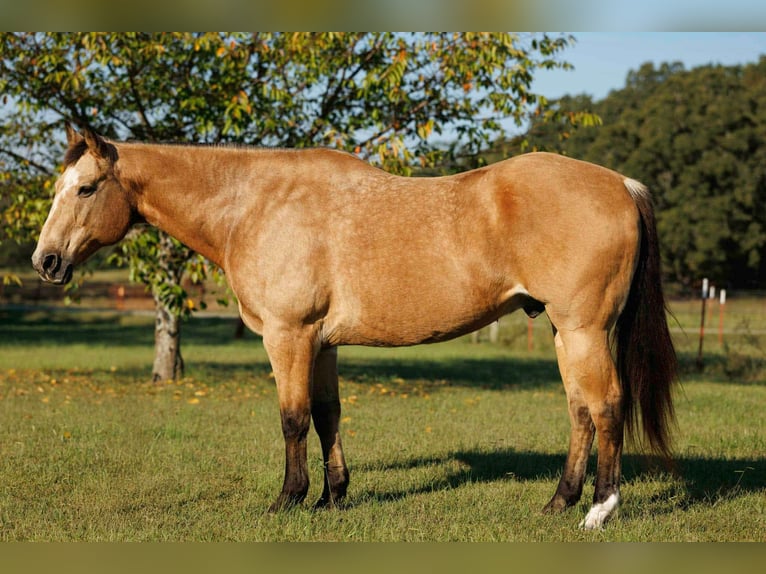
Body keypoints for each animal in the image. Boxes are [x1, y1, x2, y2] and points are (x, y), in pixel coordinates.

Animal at [32, 125, 677, 529]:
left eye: (85, 188)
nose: (46, 261)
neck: (253, 205)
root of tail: (620, 184)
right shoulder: (321, 344)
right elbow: (326, 416)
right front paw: (332, 499)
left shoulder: (288, 336)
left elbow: (292, 420)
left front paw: (288, 501)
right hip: (565, 334)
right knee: (579, 412)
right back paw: (558, 503)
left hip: (584, 330)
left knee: (606, 407)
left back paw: (599, 509)